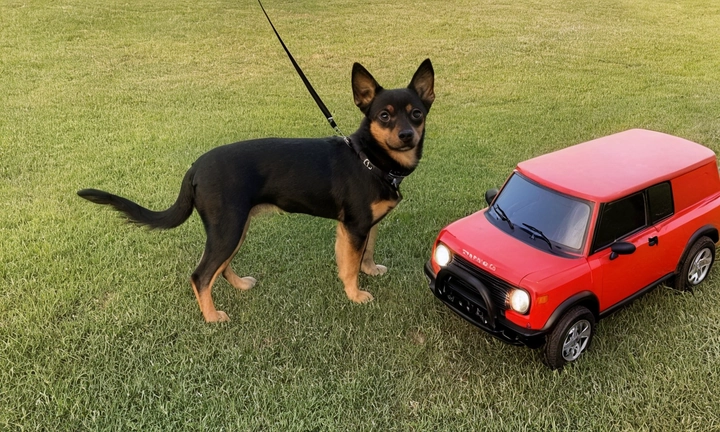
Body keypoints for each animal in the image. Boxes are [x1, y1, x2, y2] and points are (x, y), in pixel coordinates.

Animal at [81, 59, 436, 322]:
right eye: (384, 115)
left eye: (417, 113)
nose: (407, 135)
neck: (369, 158)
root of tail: (195, 168)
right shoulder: (354, 226)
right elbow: (349, 266)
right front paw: (356, 295)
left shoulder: (366, 226)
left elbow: (367, 253)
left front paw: (371, 270)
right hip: (229, 227)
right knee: (201, 274)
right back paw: (212, 317)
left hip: (234, 227)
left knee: (219, 268)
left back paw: (239, 286)